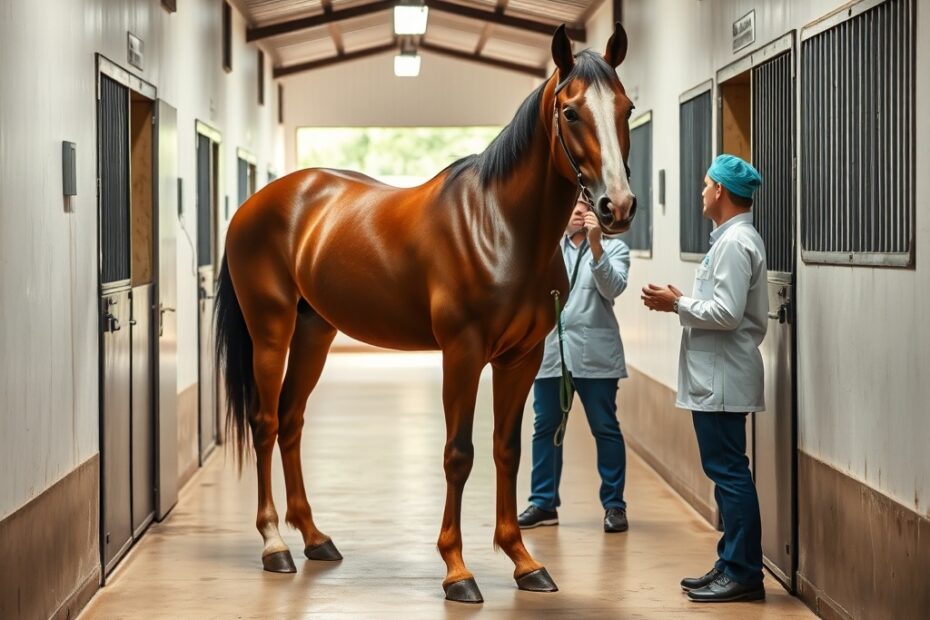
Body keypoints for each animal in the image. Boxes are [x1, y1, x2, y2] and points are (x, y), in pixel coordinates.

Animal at [215, 22, 636, 603]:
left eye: (626, 108)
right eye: (571, 112)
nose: (618, 207)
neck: (500, 228)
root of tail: (253, 205)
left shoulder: (521, 359)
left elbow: (506, 449)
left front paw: (524, 562)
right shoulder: (462, 353)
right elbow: (458, 453)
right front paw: (457, 570)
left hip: (314, 332)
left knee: (292, 422)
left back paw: (316, 537)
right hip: (271, 332)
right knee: (265, 421)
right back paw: (274, 545)